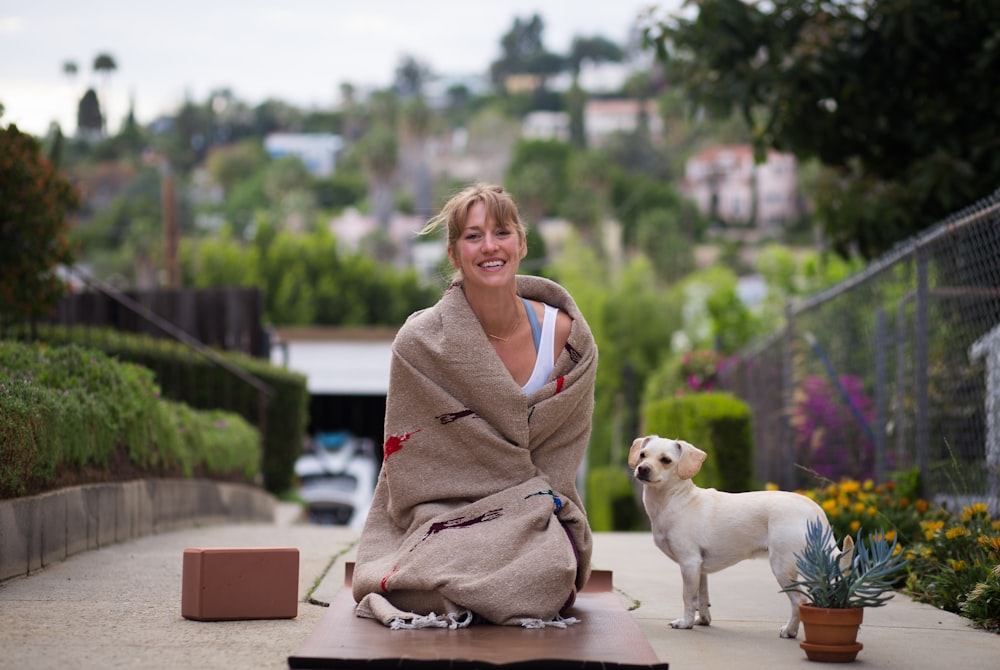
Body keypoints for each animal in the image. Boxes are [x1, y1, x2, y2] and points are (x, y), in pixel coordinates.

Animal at [632, 436, 836, 640]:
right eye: (642, 455)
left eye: (665, 460)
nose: (642, 468)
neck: (675, 499)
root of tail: (814, 510)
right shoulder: (700, 568)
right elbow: (703, 598)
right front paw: (702, 620)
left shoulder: (689, 563)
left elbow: (688, 598)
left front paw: (685, 623)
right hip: (811, 566)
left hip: (783, 567)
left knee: (799, 600)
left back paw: (790, 631)